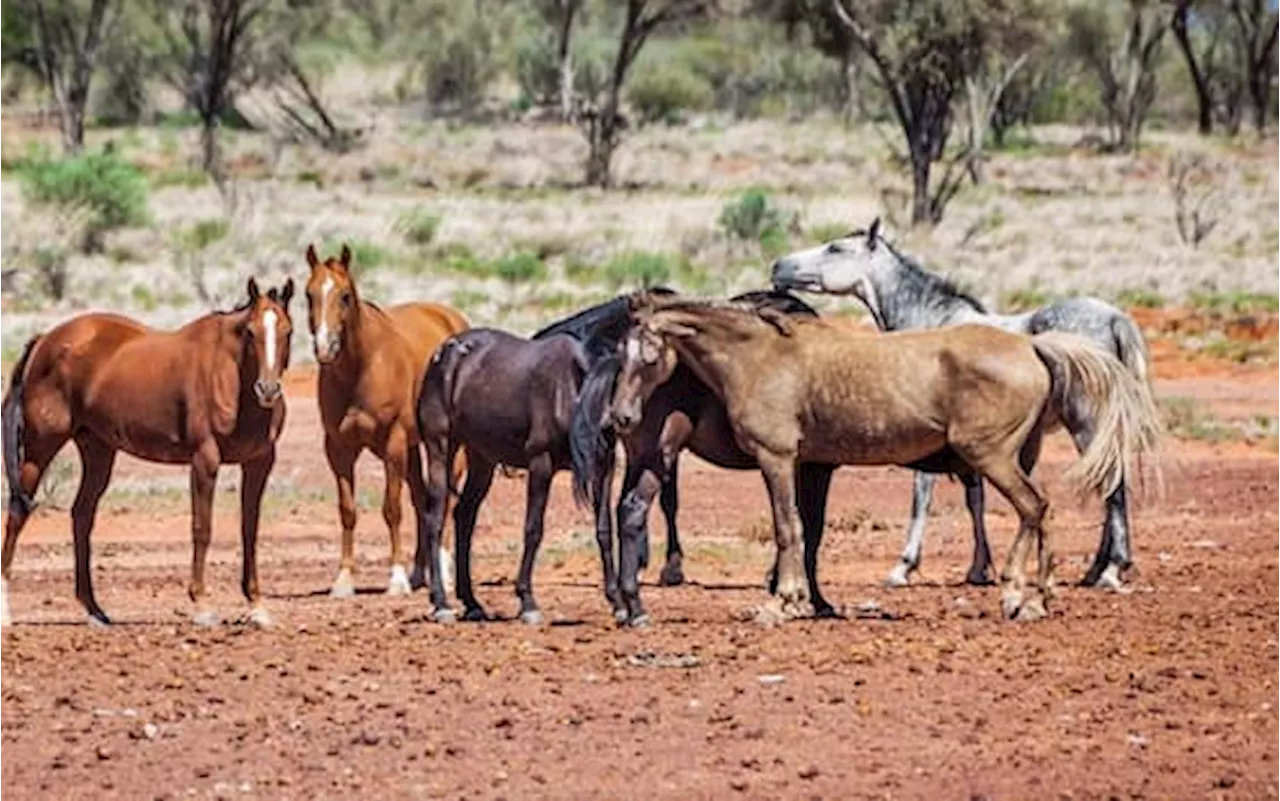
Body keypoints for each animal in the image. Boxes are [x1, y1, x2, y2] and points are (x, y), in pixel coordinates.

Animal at [1, 277, 294, 626]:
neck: (231, 378)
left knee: (81, 515)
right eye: (250, 331)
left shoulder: (259, 463)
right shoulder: (205, 459)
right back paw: (6, 611)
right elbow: (202, 527)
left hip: (97, 450)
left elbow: (250, 529)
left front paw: (257, 605)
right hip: (40, 447)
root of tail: (45, 339)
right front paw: (201, 604)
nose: (268, 389)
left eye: (288, 330)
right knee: (17, 512)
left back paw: (95, 610)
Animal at [304, 243, 471, 593]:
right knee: (423, 501)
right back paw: (421, 573)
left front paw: (396, 578)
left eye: (345, 296)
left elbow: (392, 509)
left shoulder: (393, 442)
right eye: (308, 294)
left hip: (448, 447)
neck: (362, 366)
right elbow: (348, 510)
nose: (325, 348)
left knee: (445, 498)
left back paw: (444, 572)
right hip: (413, 449)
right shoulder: (338, 448)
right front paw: (343, 579)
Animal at [609, 296, 1162, 621]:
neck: (761, 357)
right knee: (1041, 510)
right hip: (1017, 456)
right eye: (619, 352)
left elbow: (788, 528)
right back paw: (1040, 597)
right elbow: (804, 530)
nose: (621, 417)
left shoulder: (778, 458)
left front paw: (780, 603)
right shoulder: (808, 465)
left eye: (649, 355)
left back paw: (1014, 596)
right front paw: (801, 601)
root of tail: (1032, 346)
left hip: (993, 457)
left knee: (1032, 508)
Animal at [768, 214, 1152, 588]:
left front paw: (903, 567)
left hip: (1086, 423)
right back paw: (1097, 570)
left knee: (1113, 488)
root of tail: (1116, 319)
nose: (778, 266)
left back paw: (1111, 570)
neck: (931, 321)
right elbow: (974, 499)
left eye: (836, 248)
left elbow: (922, 497)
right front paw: (979, 569)